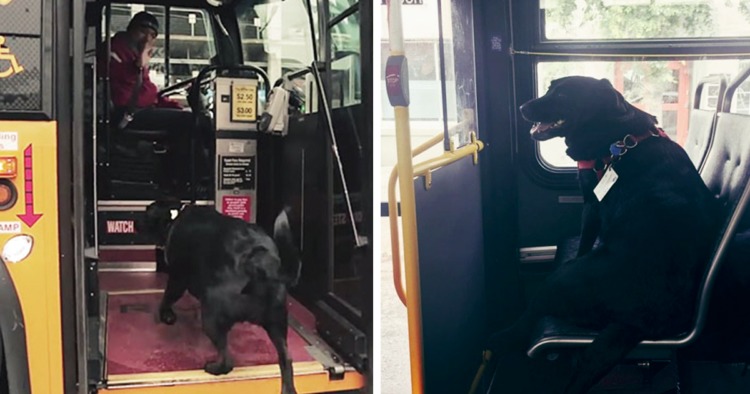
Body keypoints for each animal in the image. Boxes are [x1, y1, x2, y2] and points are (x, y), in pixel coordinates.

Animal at [140, 202, 304, 394]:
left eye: (146, 213)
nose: (136, 222)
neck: (175, 216)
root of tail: (260, 262)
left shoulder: (178, 278)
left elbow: (168, 296)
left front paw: (164, 313)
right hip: (277, 323)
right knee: (286, 359)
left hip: (212, 315)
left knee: (227, 360)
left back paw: (214, 367)